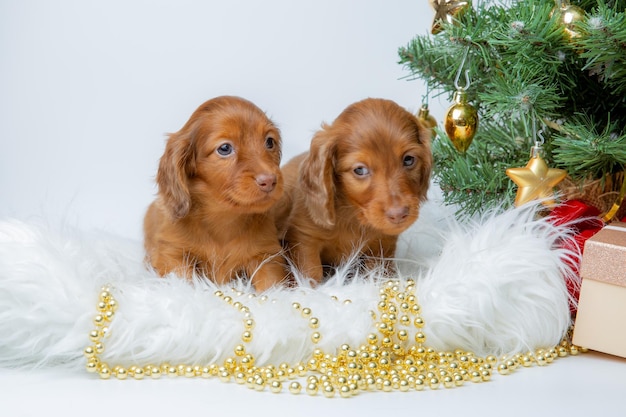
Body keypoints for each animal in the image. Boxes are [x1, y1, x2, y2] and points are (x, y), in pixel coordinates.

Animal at [143, 96, 286, 290]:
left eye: (269, 141)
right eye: (225, 148)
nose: (270, 180)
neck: (223, 218)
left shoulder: (267, 256)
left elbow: (272, 285)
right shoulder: (172, 253)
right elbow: (182, 280)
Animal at [276, 96, 432, 282]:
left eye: (409, 159)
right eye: (360, 170)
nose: (399, 214)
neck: (353, 216)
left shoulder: (382, 245)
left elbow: (379, 273)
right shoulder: (304, 239)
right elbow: (310, 274)